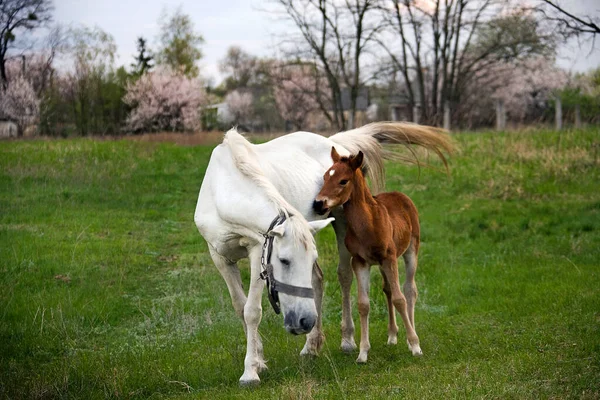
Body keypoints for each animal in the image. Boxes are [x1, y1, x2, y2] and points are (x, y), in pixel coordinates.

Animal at [314, 146, 422, 362]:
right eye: (325, 176)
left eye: (343, 181)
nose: (318, 203)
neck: (368, 224)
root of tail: (401, 195)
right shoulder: (360, 261)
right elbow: (363, 304)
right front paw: (363, 352)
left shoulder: (389, 257)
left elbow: (400, 299)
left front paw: (415, 345)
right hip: (380, 264)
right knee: (388, 289)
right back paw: (392, 335)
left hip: (410, 250)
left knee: (409, 290)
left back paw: (410, 337)